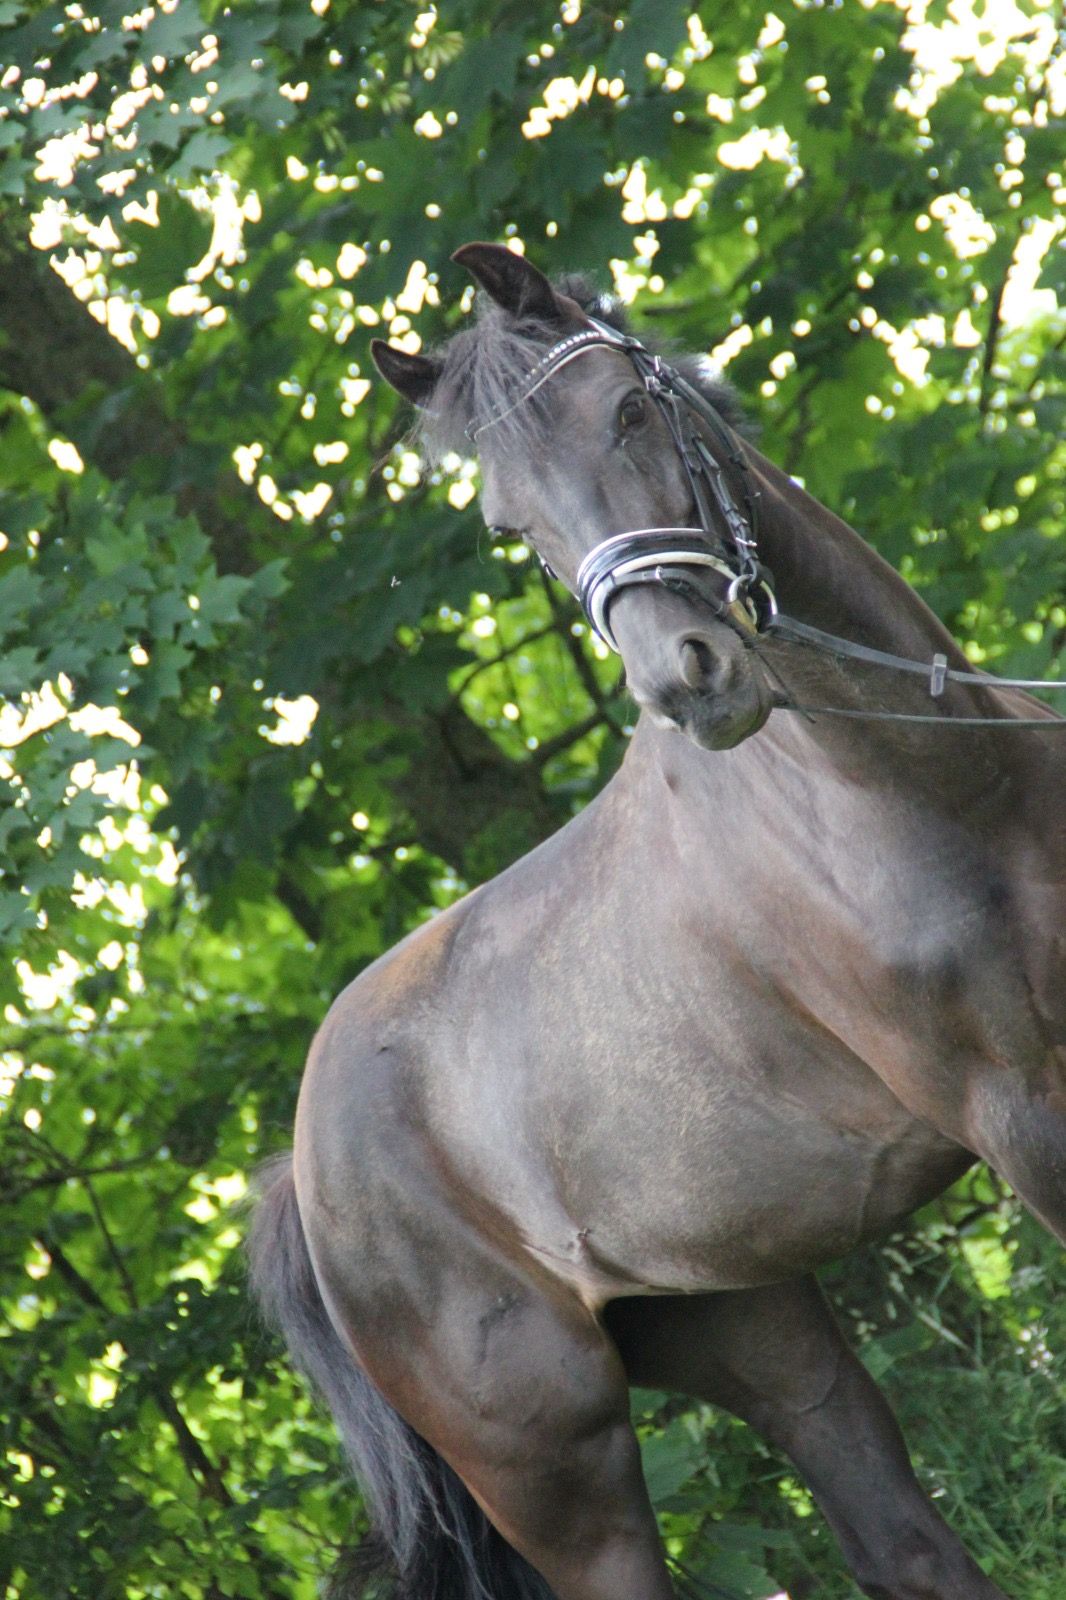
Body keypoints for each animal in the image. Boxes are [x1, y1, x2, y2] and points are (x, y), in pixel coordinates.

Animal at [250, 242, 1065, 1600]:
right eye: (510, 525)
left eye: (629, 413)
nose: (686, 677)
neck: (939, 784)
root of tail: (304, 1169)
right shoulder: (1019, 1111)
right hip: (555, 1460)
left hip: (748, 1324)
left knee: (896, 1536)